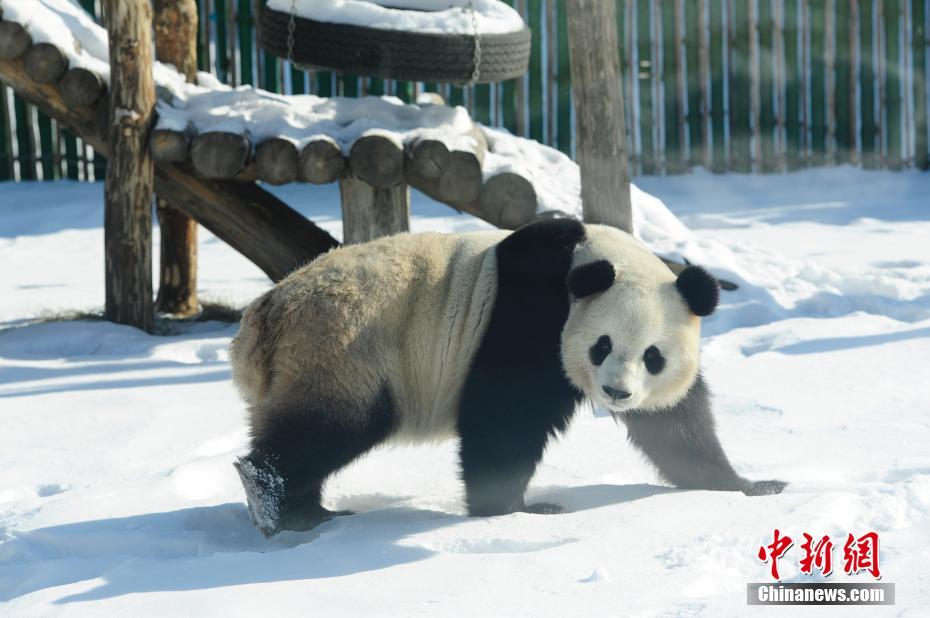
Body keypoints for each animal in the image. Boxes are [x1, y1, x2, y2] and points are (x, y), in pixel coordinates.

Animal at [228, 217, 780, 536]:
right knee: (330, 428)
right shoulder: (530, 315)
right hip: (344, 347)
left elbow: (674, 423)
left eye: (653, 356)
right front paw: (518, 511)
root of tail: (263, 319)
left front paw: (748, 487)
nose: (617, 392)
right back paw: (274, 502)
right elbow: (504, 415)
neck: (591, 258)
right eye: (602, 346)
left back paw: (310, 513)